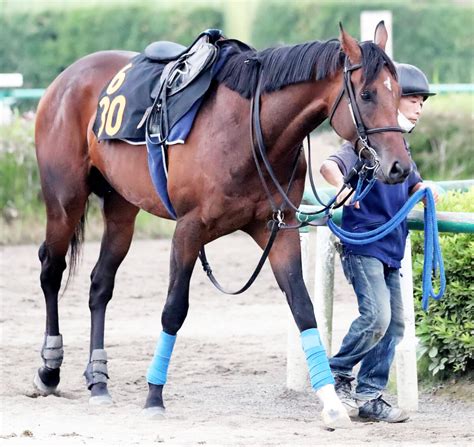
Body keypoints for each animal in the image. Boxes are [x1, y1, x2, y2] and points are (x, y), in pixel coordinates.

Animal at [34, 21, 408, 428]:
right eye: (367, 94)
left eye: (399, 91)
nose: (399, 167)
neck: (249, 130)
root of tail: (65, 79)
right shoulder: (188, 230)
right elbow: (174, 310)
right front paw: (154, 395)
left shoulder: (275, 229)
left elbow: (302, 307)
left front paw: (330, 401)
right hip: (64, 201)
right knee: (51, 271)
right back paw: (49, 370)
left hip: (122, 209)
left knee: (100, 285)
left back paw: (98, 381)